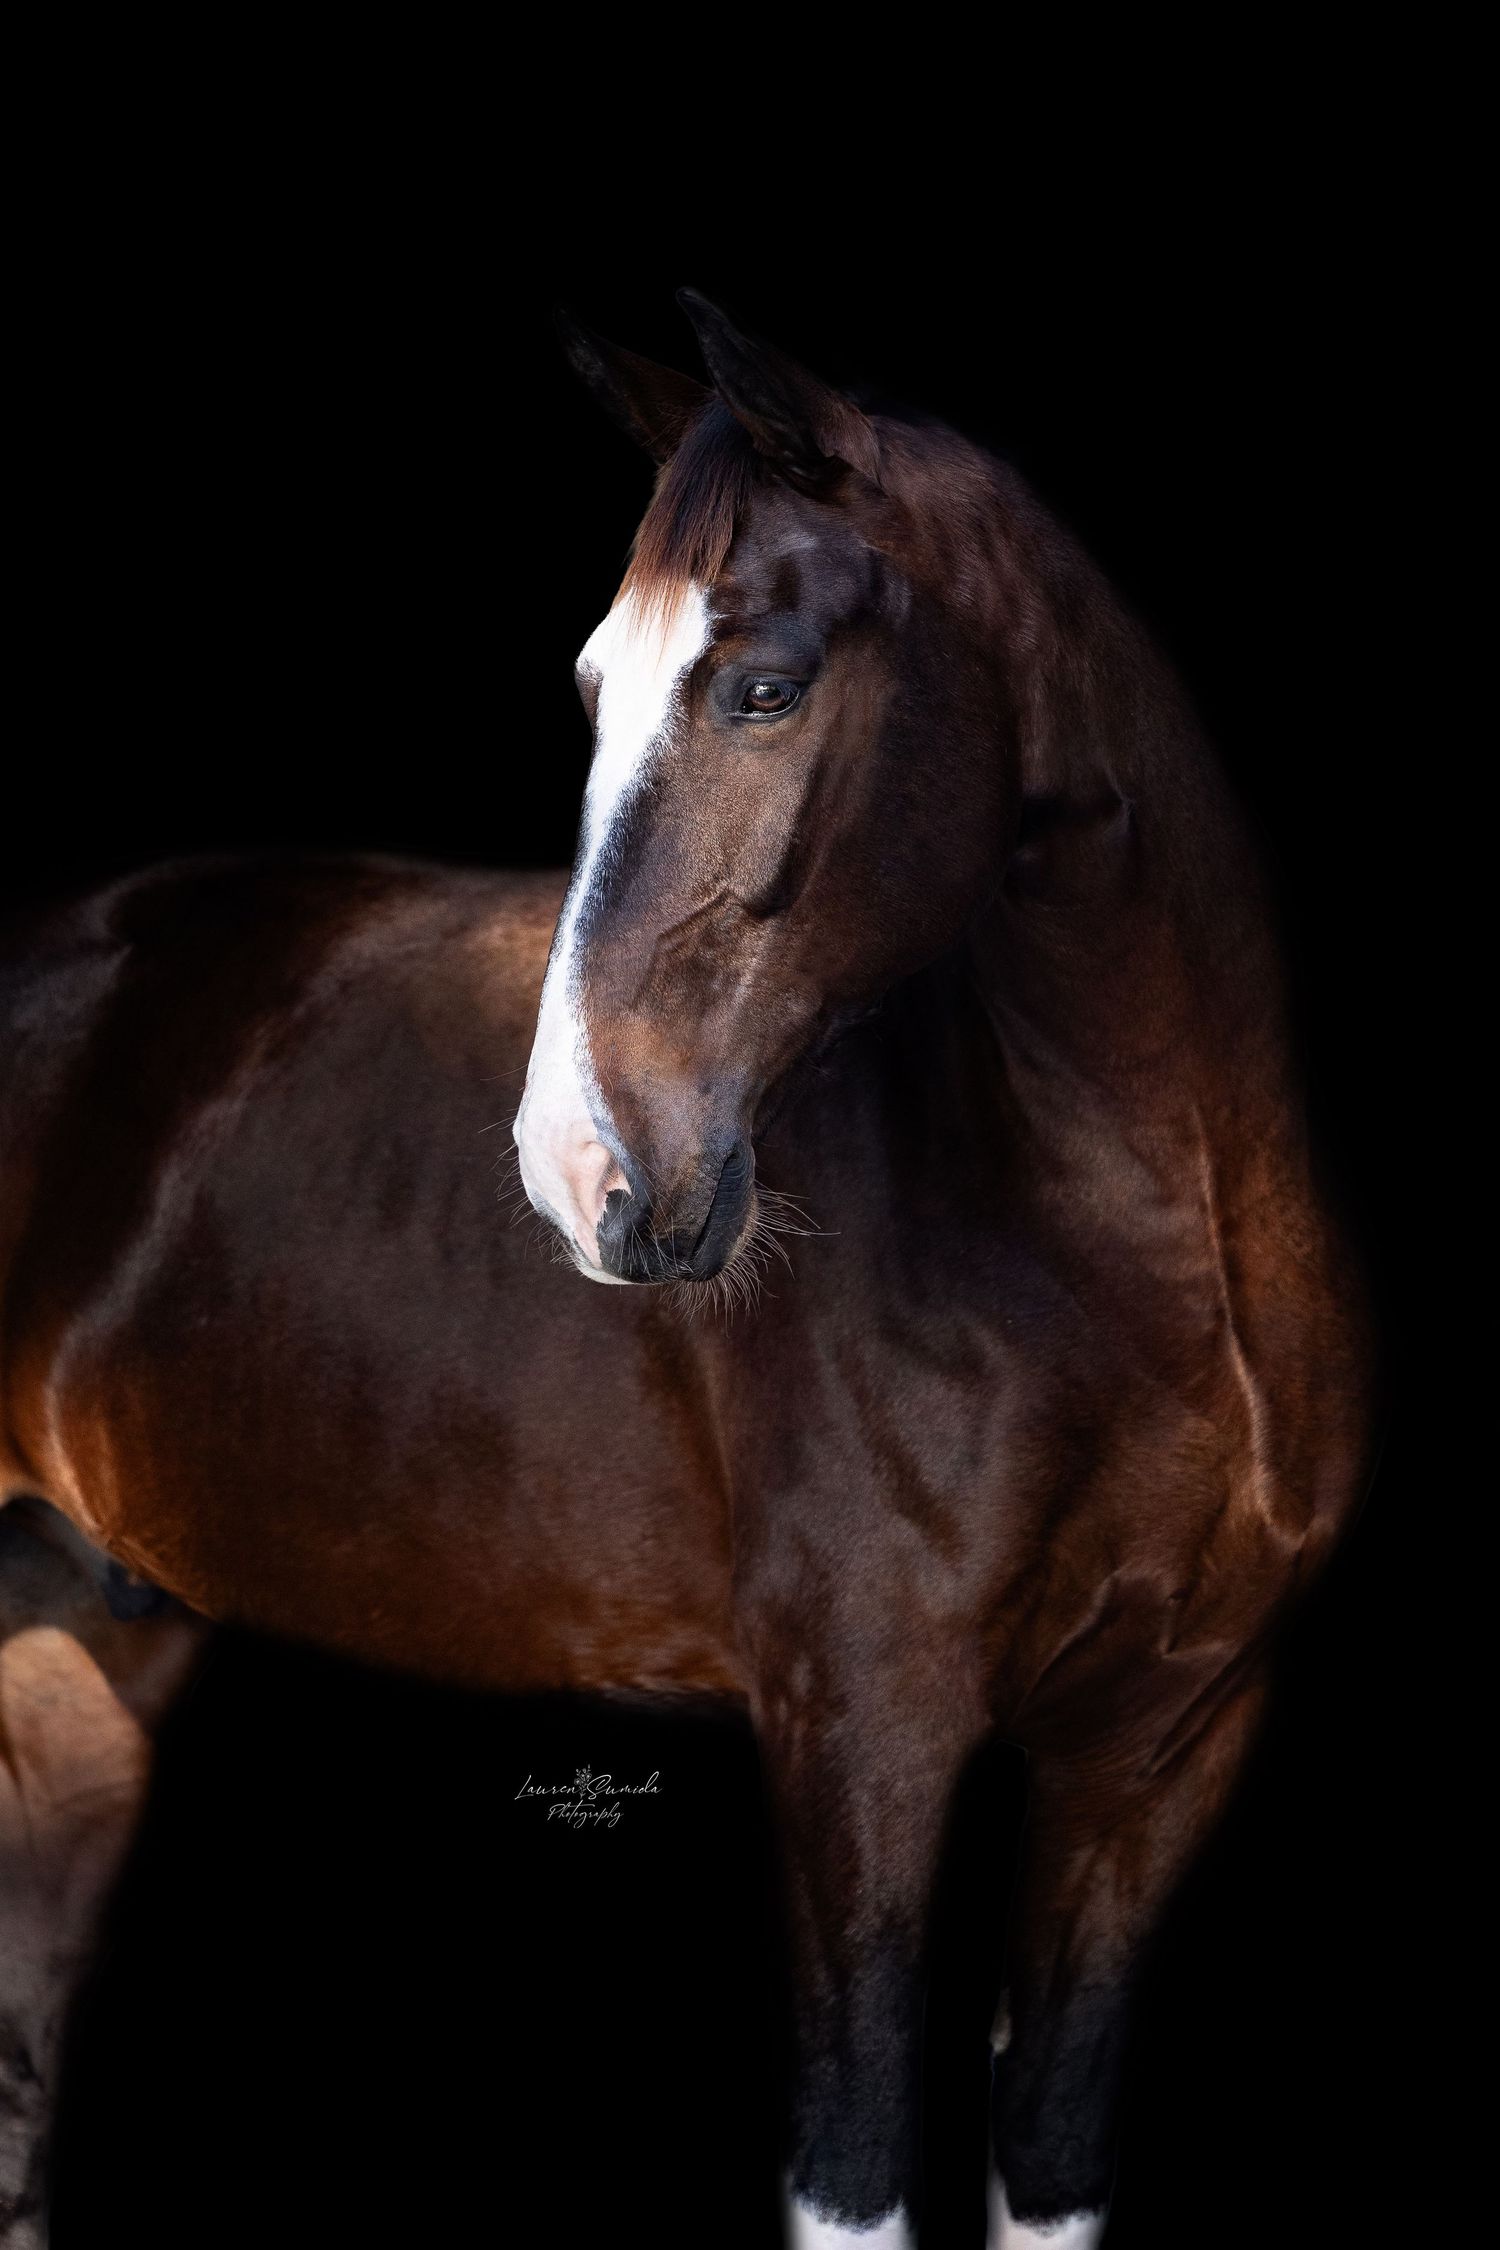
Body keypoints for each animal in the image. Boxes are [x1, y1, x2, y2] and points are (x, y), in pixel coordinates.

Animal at [0, 291, 1374, 2246]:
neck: (1144, 1268)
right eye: (594, 688)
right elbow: (853, 2173)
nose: (581, 1170)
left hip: (81, 1662)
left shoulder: (1160, 1753)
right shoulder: (861, 1743)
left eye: (766, 685)